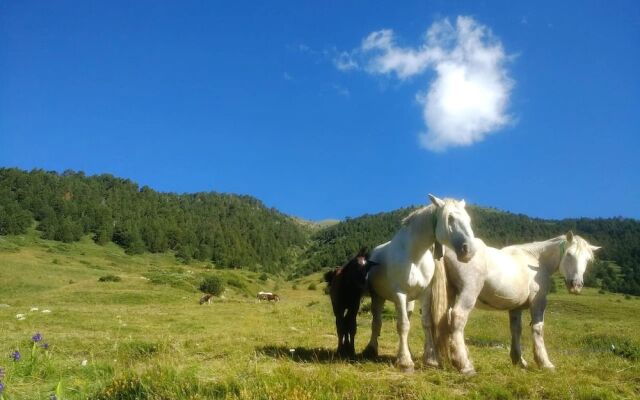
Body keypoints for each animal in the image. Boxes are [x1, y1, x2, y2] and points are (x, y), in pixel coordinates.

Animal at [362, 194, 478, 372]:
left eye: (469, 219)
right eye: (450, 218)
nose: (469, 250)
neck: (414, 256)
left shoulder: (425, 294)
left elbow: (426, 323)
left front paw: (430, 360)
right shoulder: (400, 294)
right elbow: (402, 325)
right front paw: (405, 363)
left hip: (409, 302)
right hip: (378, 298)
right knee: (377, 322)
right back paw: (371, 349)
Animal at [442, 231, 604, 376]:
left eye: (588, 260)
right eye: (569, 254)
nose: (576, 285)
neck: (536, 260)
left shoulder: (516, 307)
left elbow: (516, 330)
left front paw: (519, 361)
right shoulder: (538, 302)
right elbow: (538, 329)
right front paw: (545, 363)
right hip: (468, 292)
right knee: (458, 318)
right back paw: (465, 365)